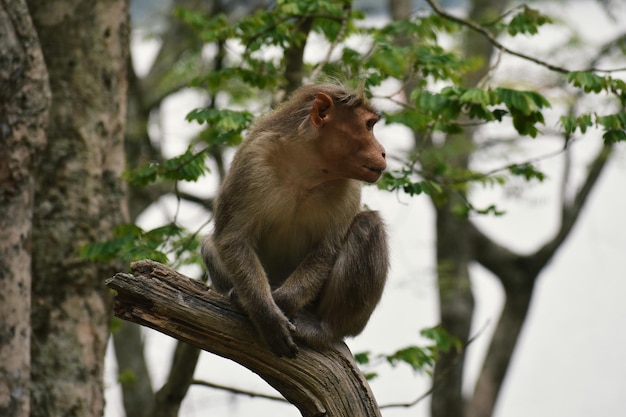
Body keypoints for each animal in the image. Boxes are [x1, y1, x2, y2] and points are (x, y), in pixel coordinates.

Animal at [200, 83, 388, 356]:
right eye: (368, 125)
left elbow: (325, 251)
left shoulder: (350, 187)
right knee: (209, 244)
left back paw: (324, 327)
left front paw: (279, 303)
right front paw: (265, 313)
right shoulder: (252, 162)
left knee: (367, 225)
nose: (383, 152)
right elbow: (232, 240)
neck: (307, 171)